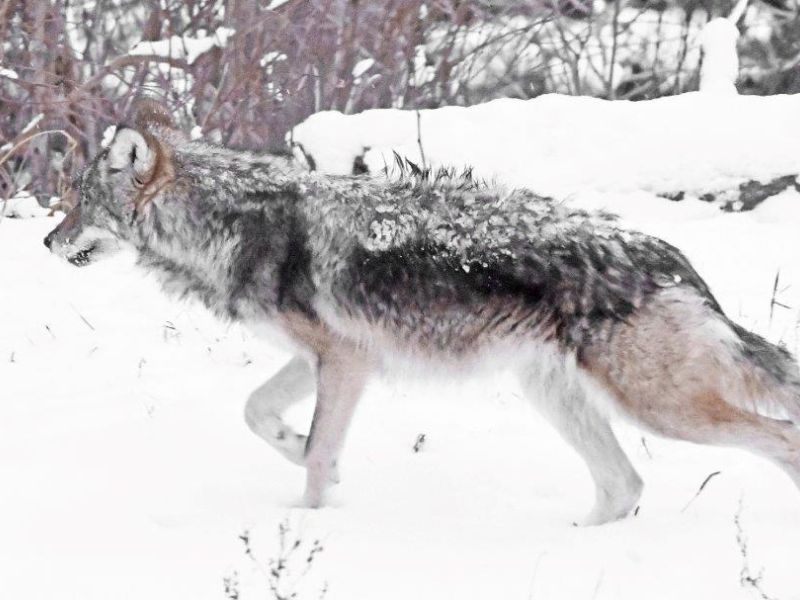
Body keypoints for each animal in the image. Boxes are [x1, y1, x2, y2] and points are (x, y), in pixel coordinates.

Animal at [45, 99, 800, 525]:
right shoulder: (328, 358)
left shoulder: (346, 361)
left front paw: (310, 524)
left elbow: (316, 456)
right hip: (559, 397)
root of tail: (671, 258)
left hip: (659, 409)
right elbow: (260, 415)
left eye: (78, 202)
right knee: (624, 488)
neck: (233, 220)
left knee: (778, 440)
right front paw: (297, 454)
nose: (45, 241)